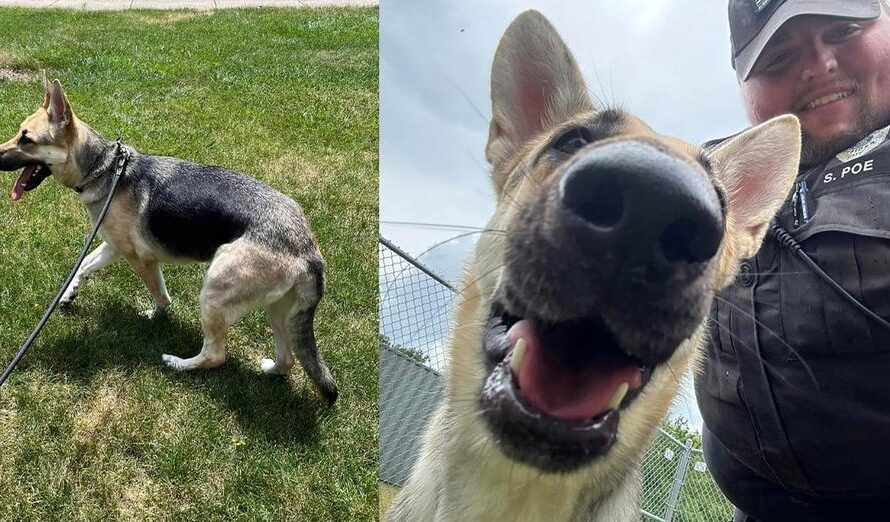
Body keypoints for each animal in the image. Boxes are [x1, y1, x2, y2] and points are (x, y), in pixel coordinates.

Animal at [0, 76, 336, 402]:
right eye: (19, 133)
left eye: (26, 139)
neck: (104, 168)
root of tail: (308, 250)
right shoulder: (112, 245)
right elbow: (83, 266)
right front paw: (70, 292)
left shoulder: (140, 259)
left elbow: (161, 295)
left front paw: (155, 314)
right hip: (278, 311)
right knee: (288, 359)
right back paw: (270, 369)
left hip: (214, 292)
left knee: (215, 354)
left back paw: (179, 364)